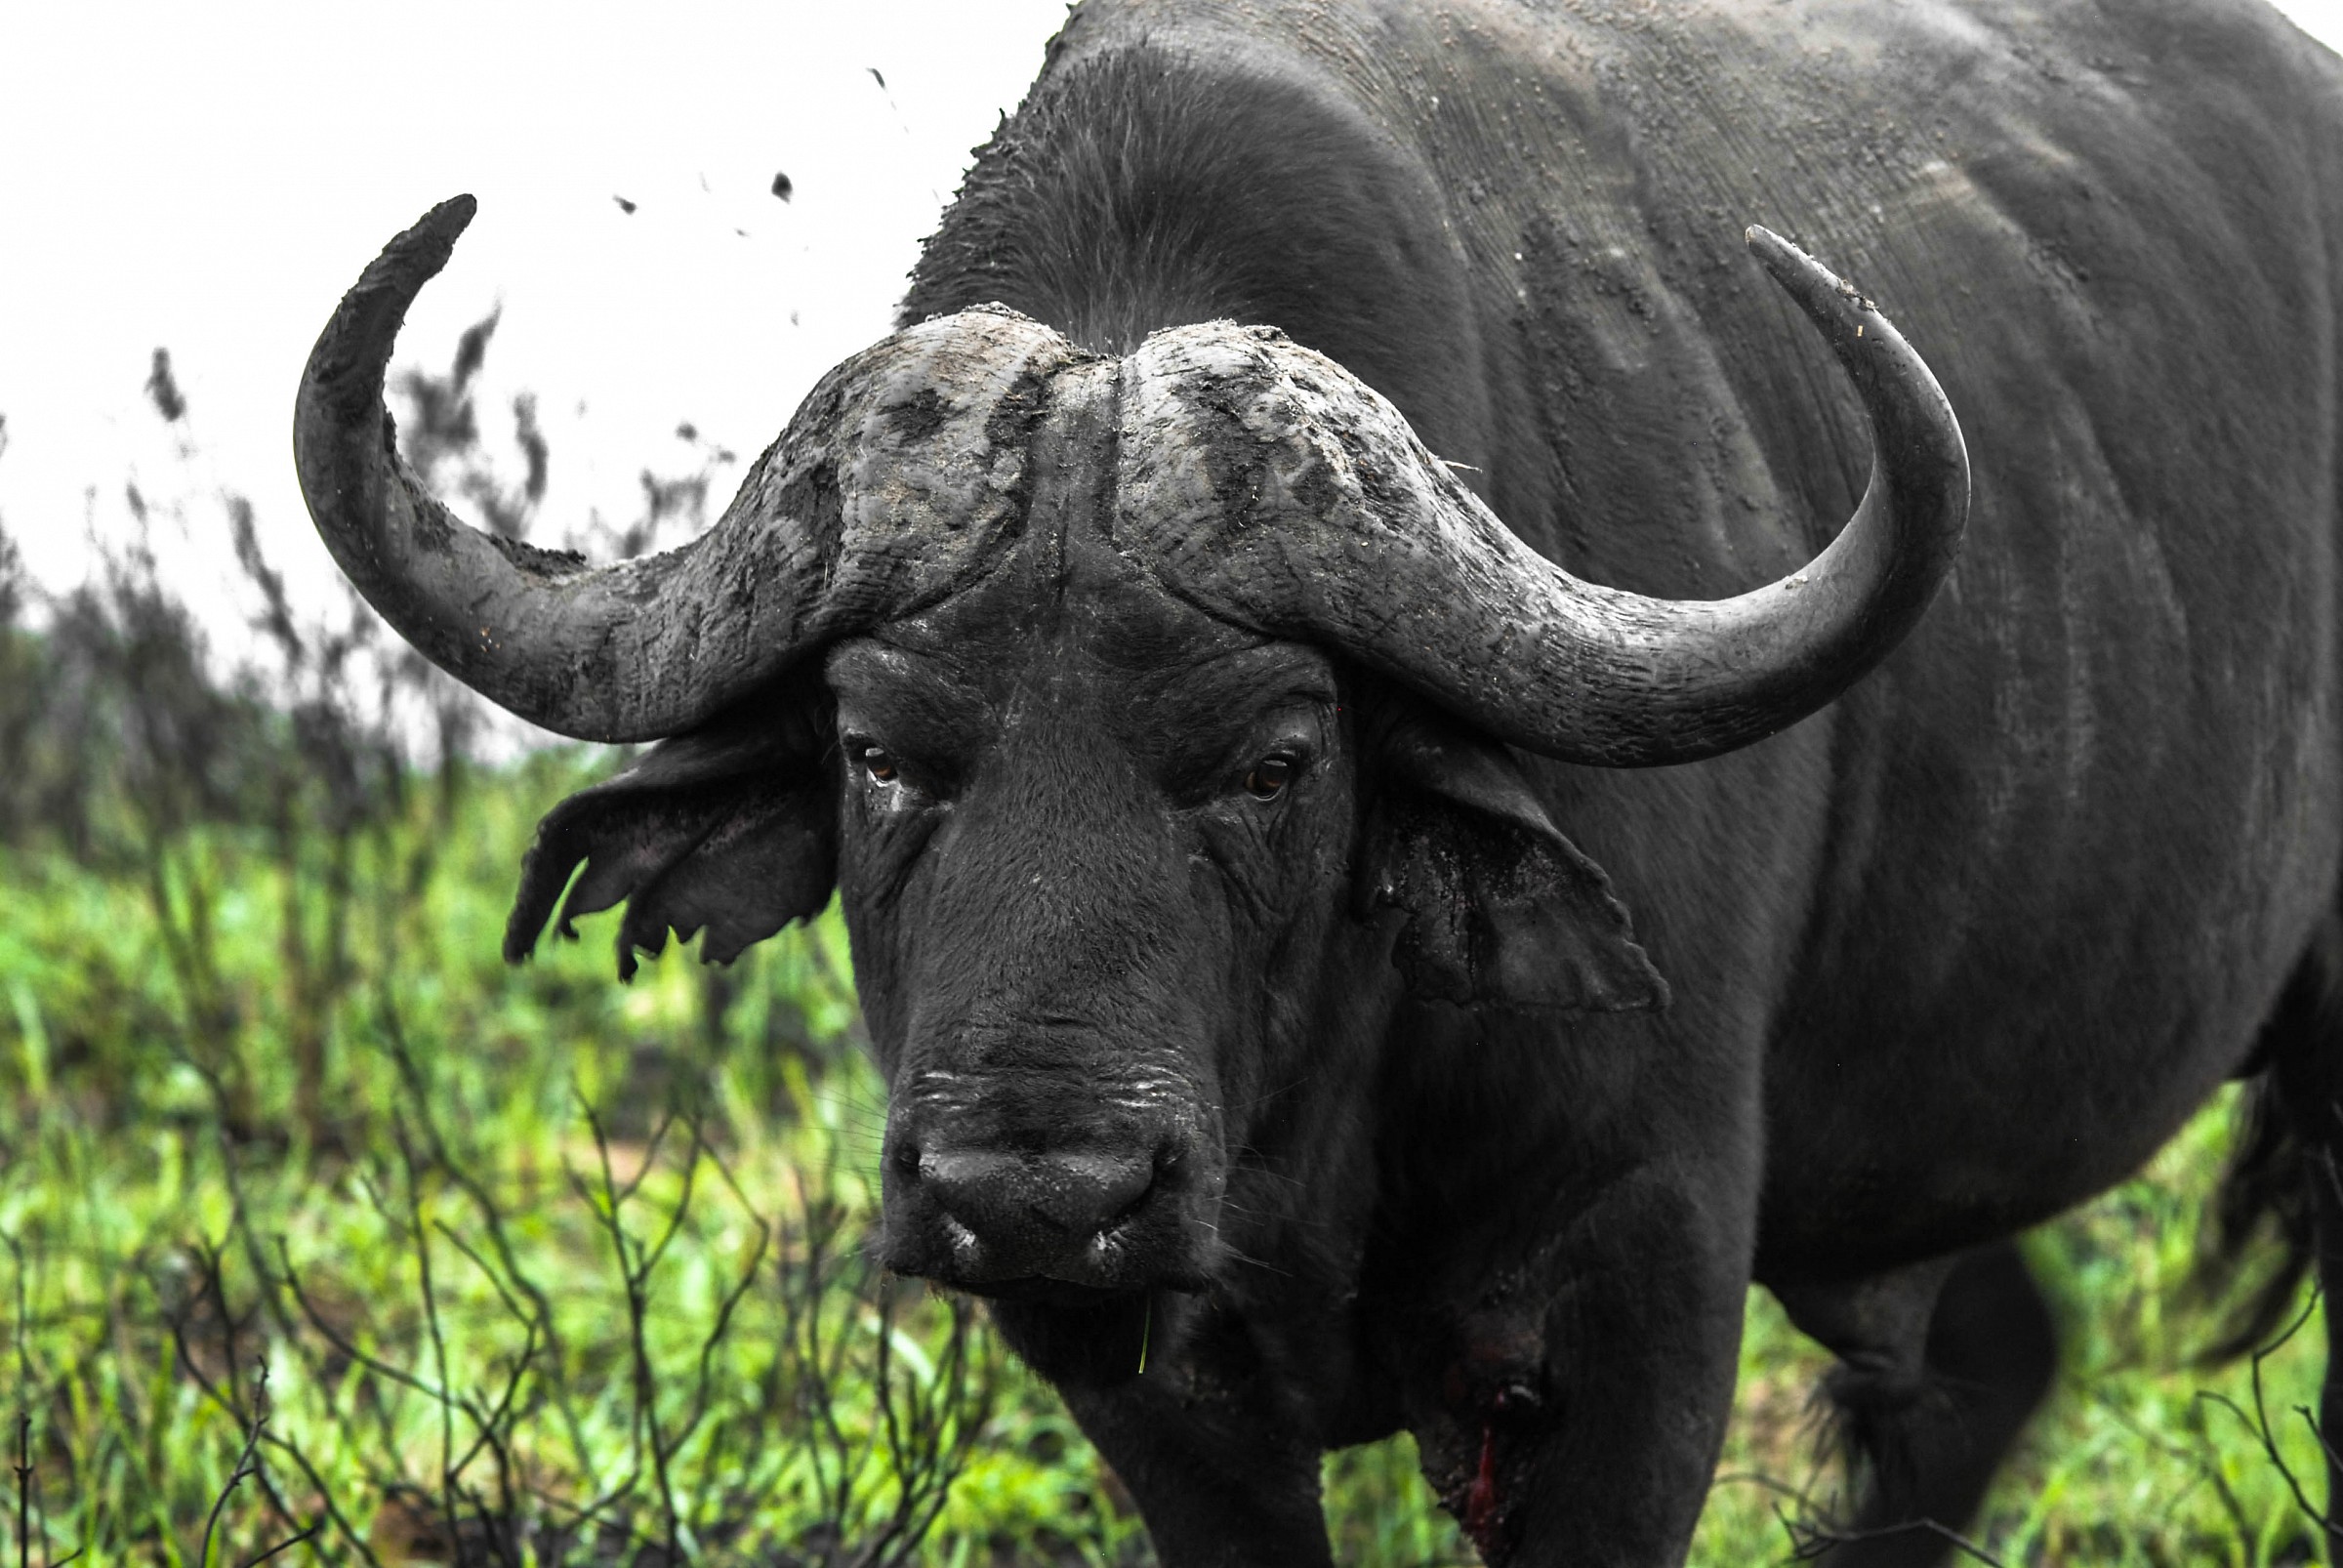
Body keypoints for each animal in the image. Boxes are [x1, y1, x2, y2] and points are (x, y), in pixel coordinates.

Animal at [294, 1, 2343, 1562]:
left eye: (1277, 757)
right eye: (877, 751)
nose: (1040, 1186)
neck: (1323, 1105)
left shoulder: (1639, 1296)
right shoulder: (1145, 1385)